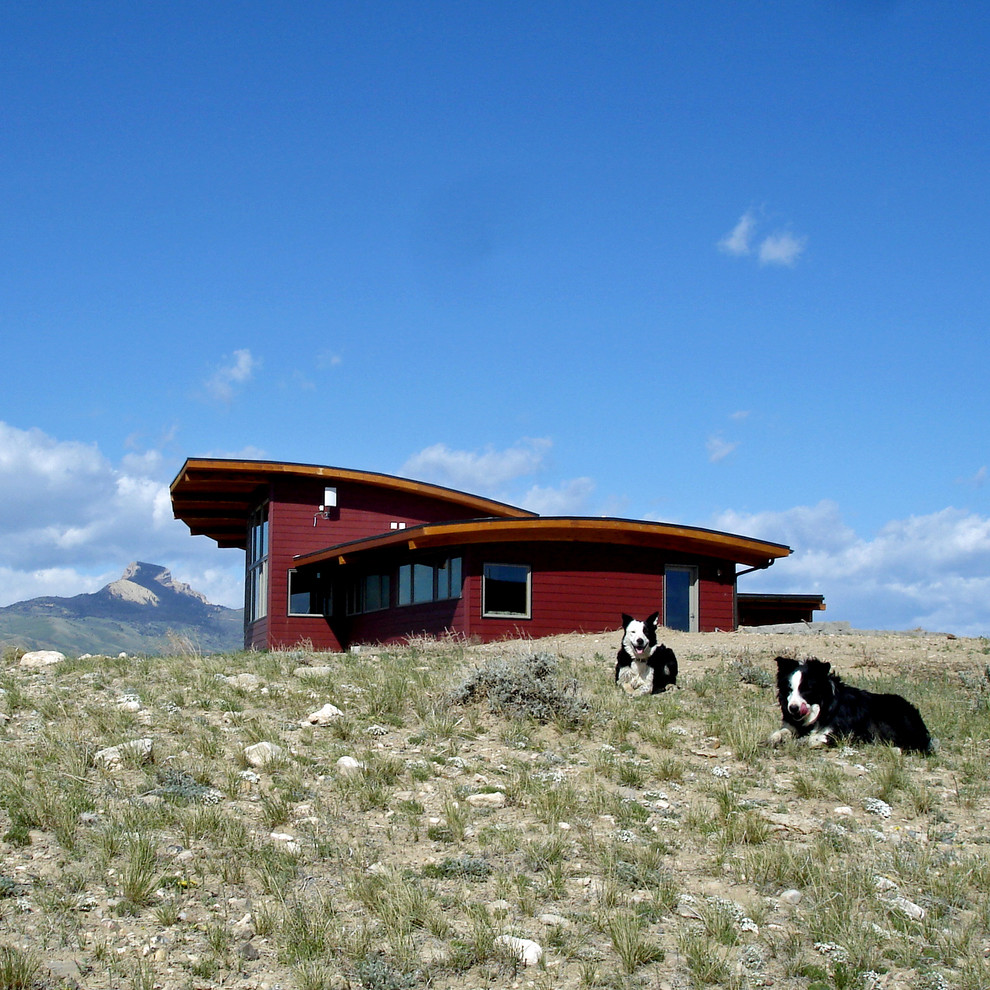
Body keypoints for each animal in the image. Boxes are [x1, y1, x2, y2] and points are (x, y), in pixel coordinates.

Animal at [772, 656, 932, 756]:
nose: (793, 708)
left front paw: (802, 741)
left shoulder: (844, 732)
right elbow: (780, 732)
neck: (823, 707)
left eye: (807, 689)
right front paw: (775, 739)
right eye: (789, 689)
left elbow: (813, 738)